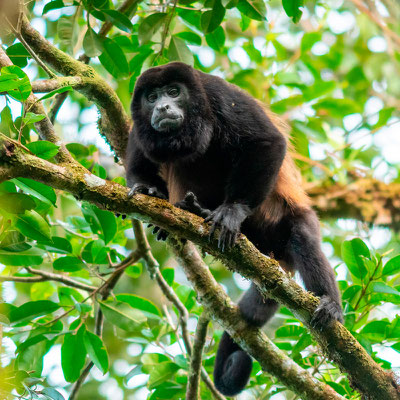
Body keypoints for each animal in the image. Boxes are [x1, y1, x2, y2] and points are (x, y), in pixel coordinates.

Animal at [126, 61, 342, 396]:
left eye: (174, 92)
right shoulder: (139, 126)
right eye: (151, 97)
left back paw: (330, 303)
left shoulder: (219, 94)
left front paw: (232, 211)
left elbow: (267, 141)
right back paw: (192, 211)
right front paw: (149, 190)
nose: (162, 106)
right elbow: (139, 162)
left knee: (303, 238)